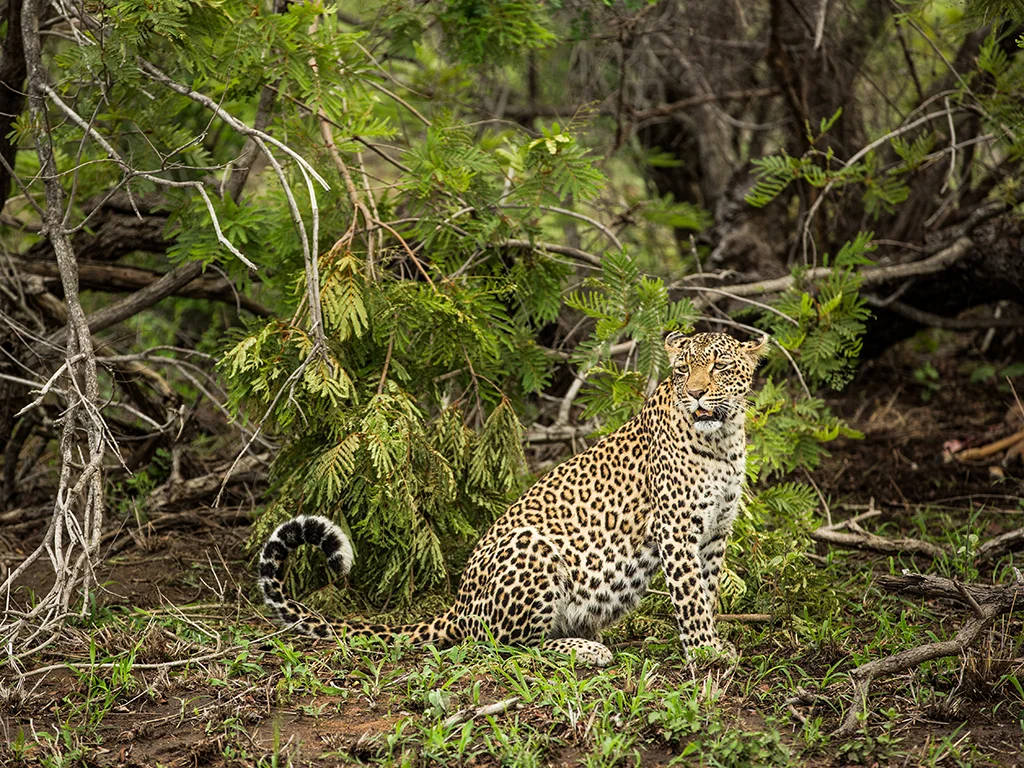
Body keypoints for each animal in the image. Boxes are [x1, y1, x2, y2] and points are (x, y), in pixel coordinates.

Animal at [258, 331, 768, 666]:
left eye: (719, 367)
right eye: (683, 370)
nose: (696, 393)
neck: (722, 438)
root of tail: (460, 604)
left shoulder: (715, 532)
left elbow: (708, 589)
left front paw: (715, 641)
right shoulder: (676, 528)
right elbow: (690, 595)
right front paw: (705, 652)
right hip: (533, 550)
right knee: (505, 645)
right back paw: (588, 650)